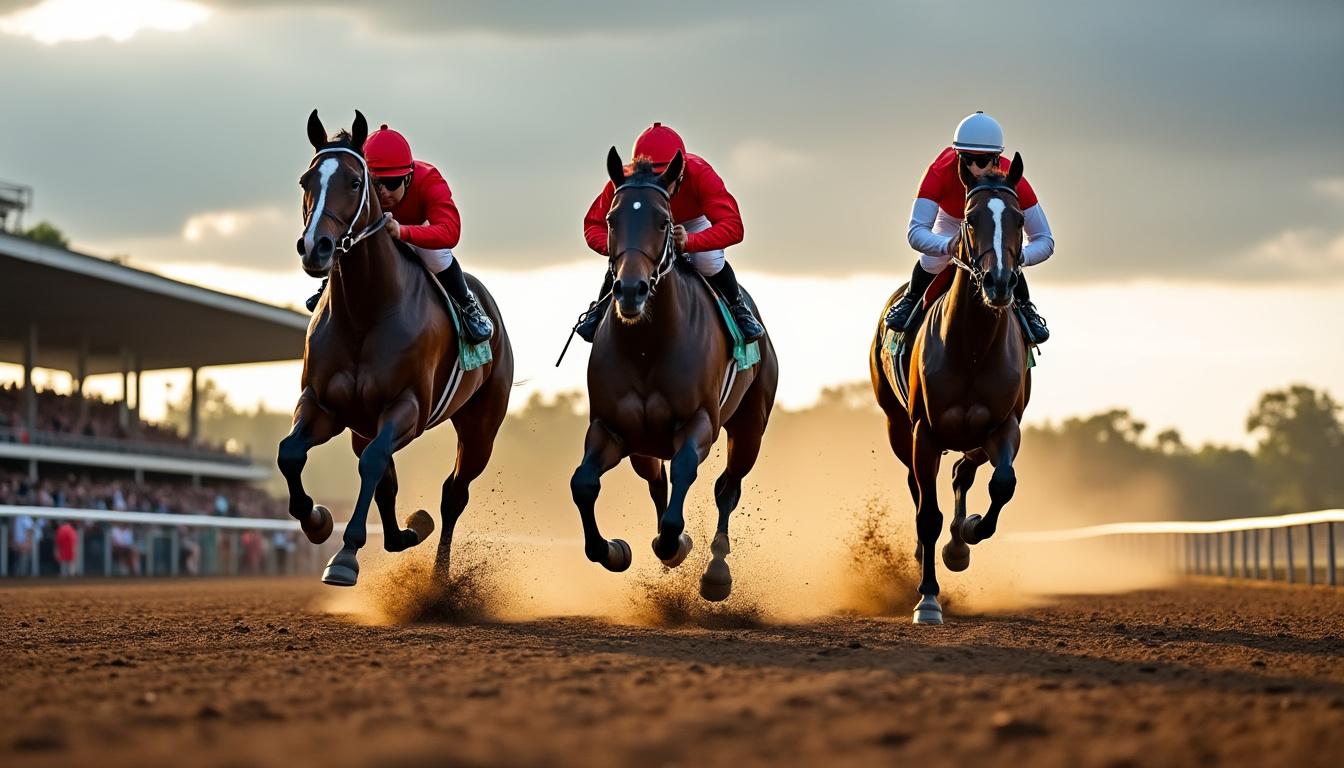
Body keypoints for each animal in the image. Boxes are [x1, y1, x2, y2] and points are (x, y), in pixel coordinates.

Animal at [277, 110, 514, 587]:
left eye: (354, 181)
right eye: (306, 180)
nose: (315, 247)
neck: (365, 312)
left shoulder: (407, 407)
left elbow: (371, 465)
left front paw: (346, 555)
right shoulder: (325, 405)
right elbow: (290, 454)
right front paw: (318, 522)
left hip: (480, 426)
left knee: (453, 493)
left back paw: (438, 576)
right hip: (362, 424)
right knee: (386, 478)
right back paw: (402, 535)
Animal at [569, 148, 779, 601]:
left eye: (664, 222)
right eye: (611, 219)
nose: (631, 290)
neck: (648, 346)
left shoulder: (700, 423)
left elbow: (684, 476)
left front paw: (675, 543)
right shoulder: (612, 429)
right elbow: (583, 484)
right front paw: (615, 550)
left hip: (749, 427)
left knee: (727, 488)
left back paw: (716, 571)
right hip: (643, 446)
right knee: (656, 483)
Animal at [870, 153, 1032, 624]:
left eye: (1018, 218)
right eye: (970, 219)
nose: (999, 283)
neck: (972, 347)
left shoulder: (1004, 426)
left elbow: (1002, 485)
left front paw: (968, 535)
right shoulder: (923, 432)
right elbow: (928, 513)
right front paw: (927, 599)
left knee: (964, 471)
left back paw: (958, 544)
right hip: (898, 427)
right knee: (918, 488)